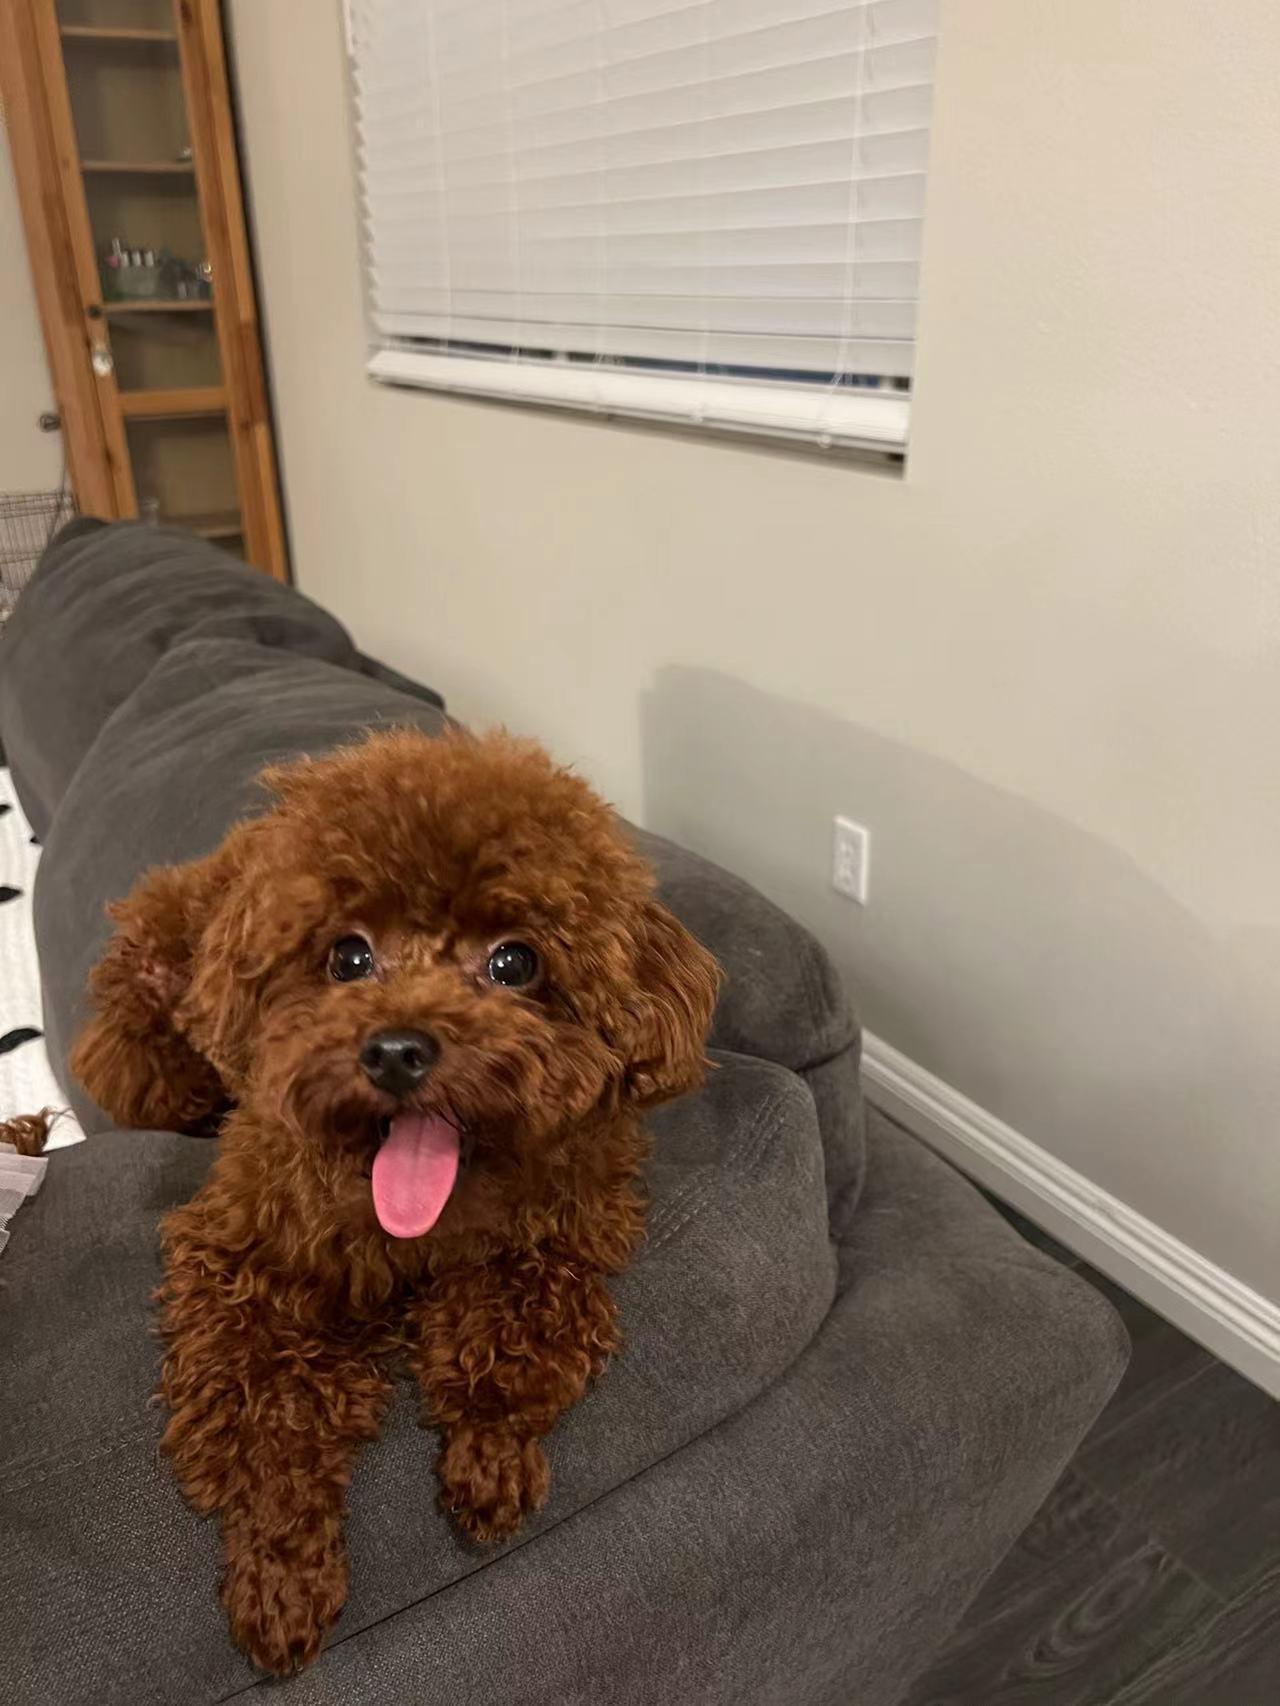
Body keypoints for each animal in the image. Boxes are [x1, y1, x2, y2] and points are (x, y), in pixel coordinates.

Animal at [70, 727, 719, 1675]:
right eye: (348, 956)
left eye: (515, 961)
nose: (396, 1051)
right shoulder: (245, 1261)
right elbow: (269, 1423)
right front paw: (282, 1578)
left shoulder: (560, 1228)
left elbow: (513, 1333)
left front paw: (489, 1461)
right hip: (151, 1043)